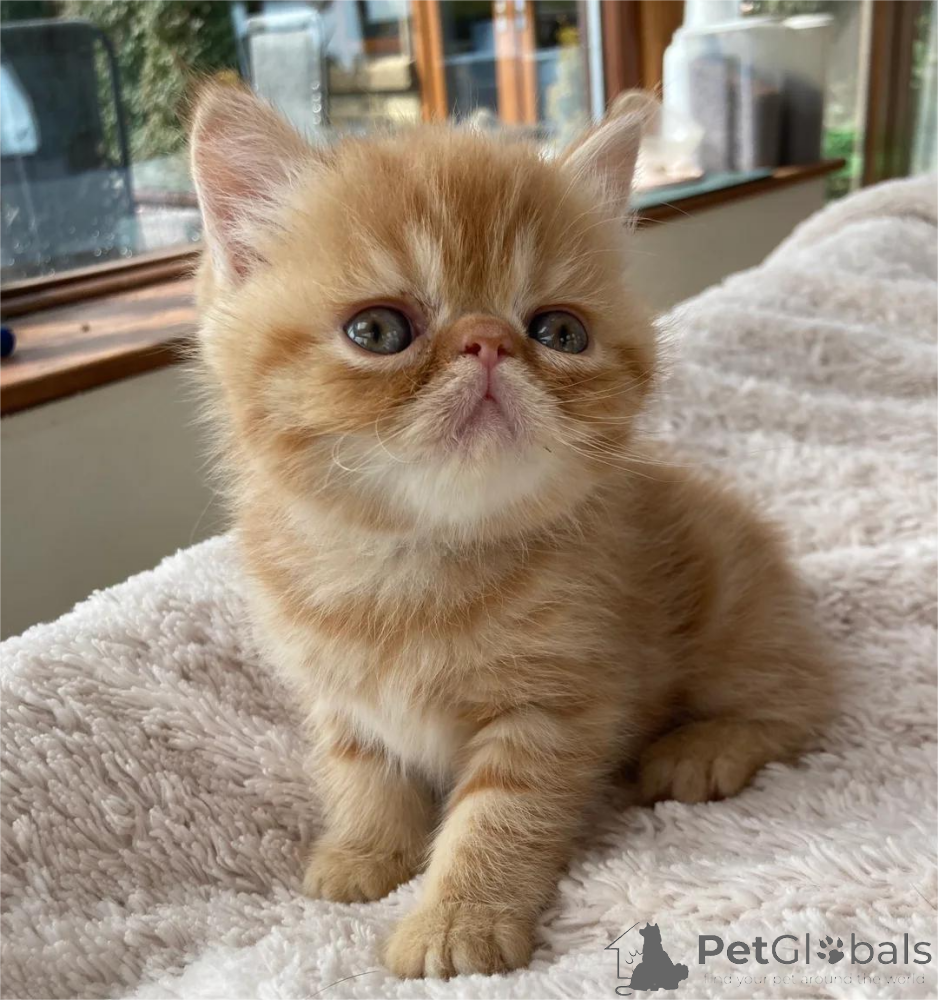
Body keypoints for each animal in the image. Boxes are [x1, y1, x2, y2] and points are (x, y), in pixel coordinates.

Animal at [189, 83, 835, 980]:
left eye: (559, 332)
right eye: (377, 332)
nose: (488, 340)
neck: (408, 565)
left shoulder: (554, 707)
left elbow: (499, 818)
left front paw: (456, 921)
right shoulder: (335, 693)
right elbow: (361, 772)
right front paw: (365, 851)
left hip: (739, 619)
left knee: (805, 696)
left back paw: (705, 747)